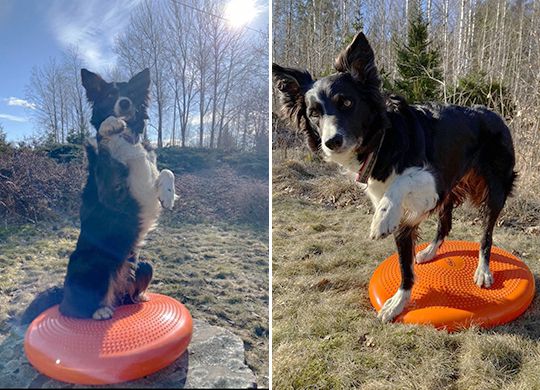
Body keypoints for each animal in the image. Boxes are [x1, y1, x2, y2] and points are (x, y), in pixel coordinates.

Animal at [272, 30, 516, 322]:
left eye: (347, 102)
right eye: (314, 113)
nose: (332, 142)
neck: (382, 140)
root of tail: (492, 112)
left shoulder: (434, 181)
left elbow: (401, 182)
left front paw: (381, 221)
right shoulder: (415, 208)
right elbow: (404, 263)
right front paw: (398, 302)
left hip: (494, 189)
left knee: (486, 235)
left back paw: (483, 270)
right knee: (445, 224)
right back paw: (430, 251)